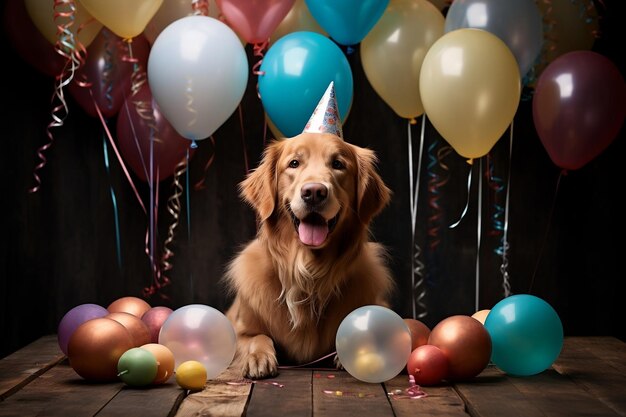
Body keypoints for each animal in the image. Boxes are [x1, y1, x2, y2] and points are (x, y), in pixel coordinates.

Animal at [223, 132, 390, 378]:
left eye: (338, 164)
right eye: (294, 163)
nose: (313, 192)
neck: (309, 273)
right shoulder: (239, 328)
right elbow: (257, 337)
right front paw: (257, 358)